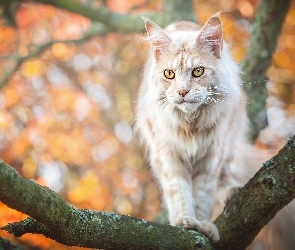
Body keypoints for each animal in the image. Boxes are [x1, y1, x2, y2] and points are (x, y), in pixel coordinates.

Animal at [135, 11, 295, 246]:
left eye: (198, 71)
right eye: (169, 74)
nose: (182, 92)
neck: (190, 124)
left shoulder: (212, 156)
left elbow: (203, 195)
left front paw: (202, 224)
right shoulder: (166, 155)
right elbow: (178, 192)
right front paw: (185, 221)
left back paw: (229, 192)